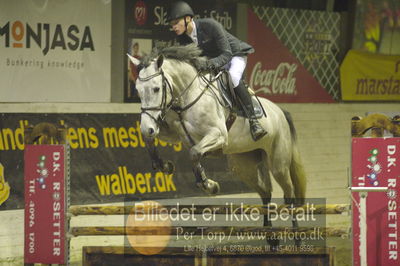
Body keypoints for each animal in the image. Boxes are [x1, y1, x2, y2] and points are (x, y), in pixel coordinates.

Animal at [128, 44, 306, 220]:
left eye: (156, 89)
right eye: (137, 90)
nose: (147, 127)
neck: (188, 94)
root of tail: (280, 111)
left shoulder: (218, 135)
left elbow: (194, 153)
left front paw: (209, 185)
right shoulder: (173, 134)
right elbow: (152, 141)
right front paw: (165, 166)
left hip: (278, 165)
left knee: (289, 193)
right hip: (244, 165)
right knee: (265, 193)